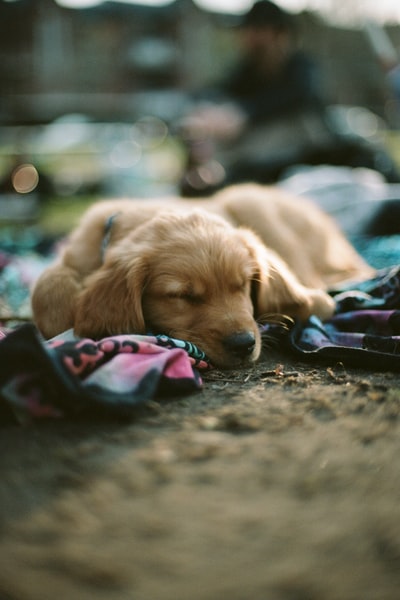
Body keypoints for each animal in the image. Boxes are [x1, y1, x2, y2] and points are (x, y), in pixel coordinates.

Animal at [31, 183, 372, 368]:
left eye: (243, 285)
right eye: (182, 296)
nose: (243, 345)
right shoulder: (76, 253)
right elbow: (46, 287)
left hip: (251, 202)